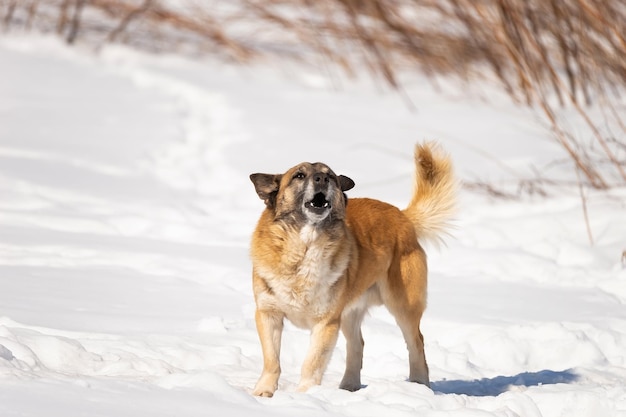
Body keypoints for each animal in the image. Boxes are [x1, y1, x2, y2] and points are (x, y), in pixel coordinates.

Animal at [247, 141, 454, 394]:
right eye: (299, 175)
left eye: (330, 176)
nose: (322, 179)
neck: (304, 247)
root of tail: (402, 216)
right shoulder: (269, 314)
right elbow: (272, 360)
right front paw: (263, 392)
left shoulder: (326, 323)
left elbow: (311, 363)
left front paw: (306, 394)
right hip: (349, 313)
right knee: (358, 345)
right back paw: (348, 387)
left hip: (403, 306)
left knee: (416, 344)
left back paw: (419, 385)